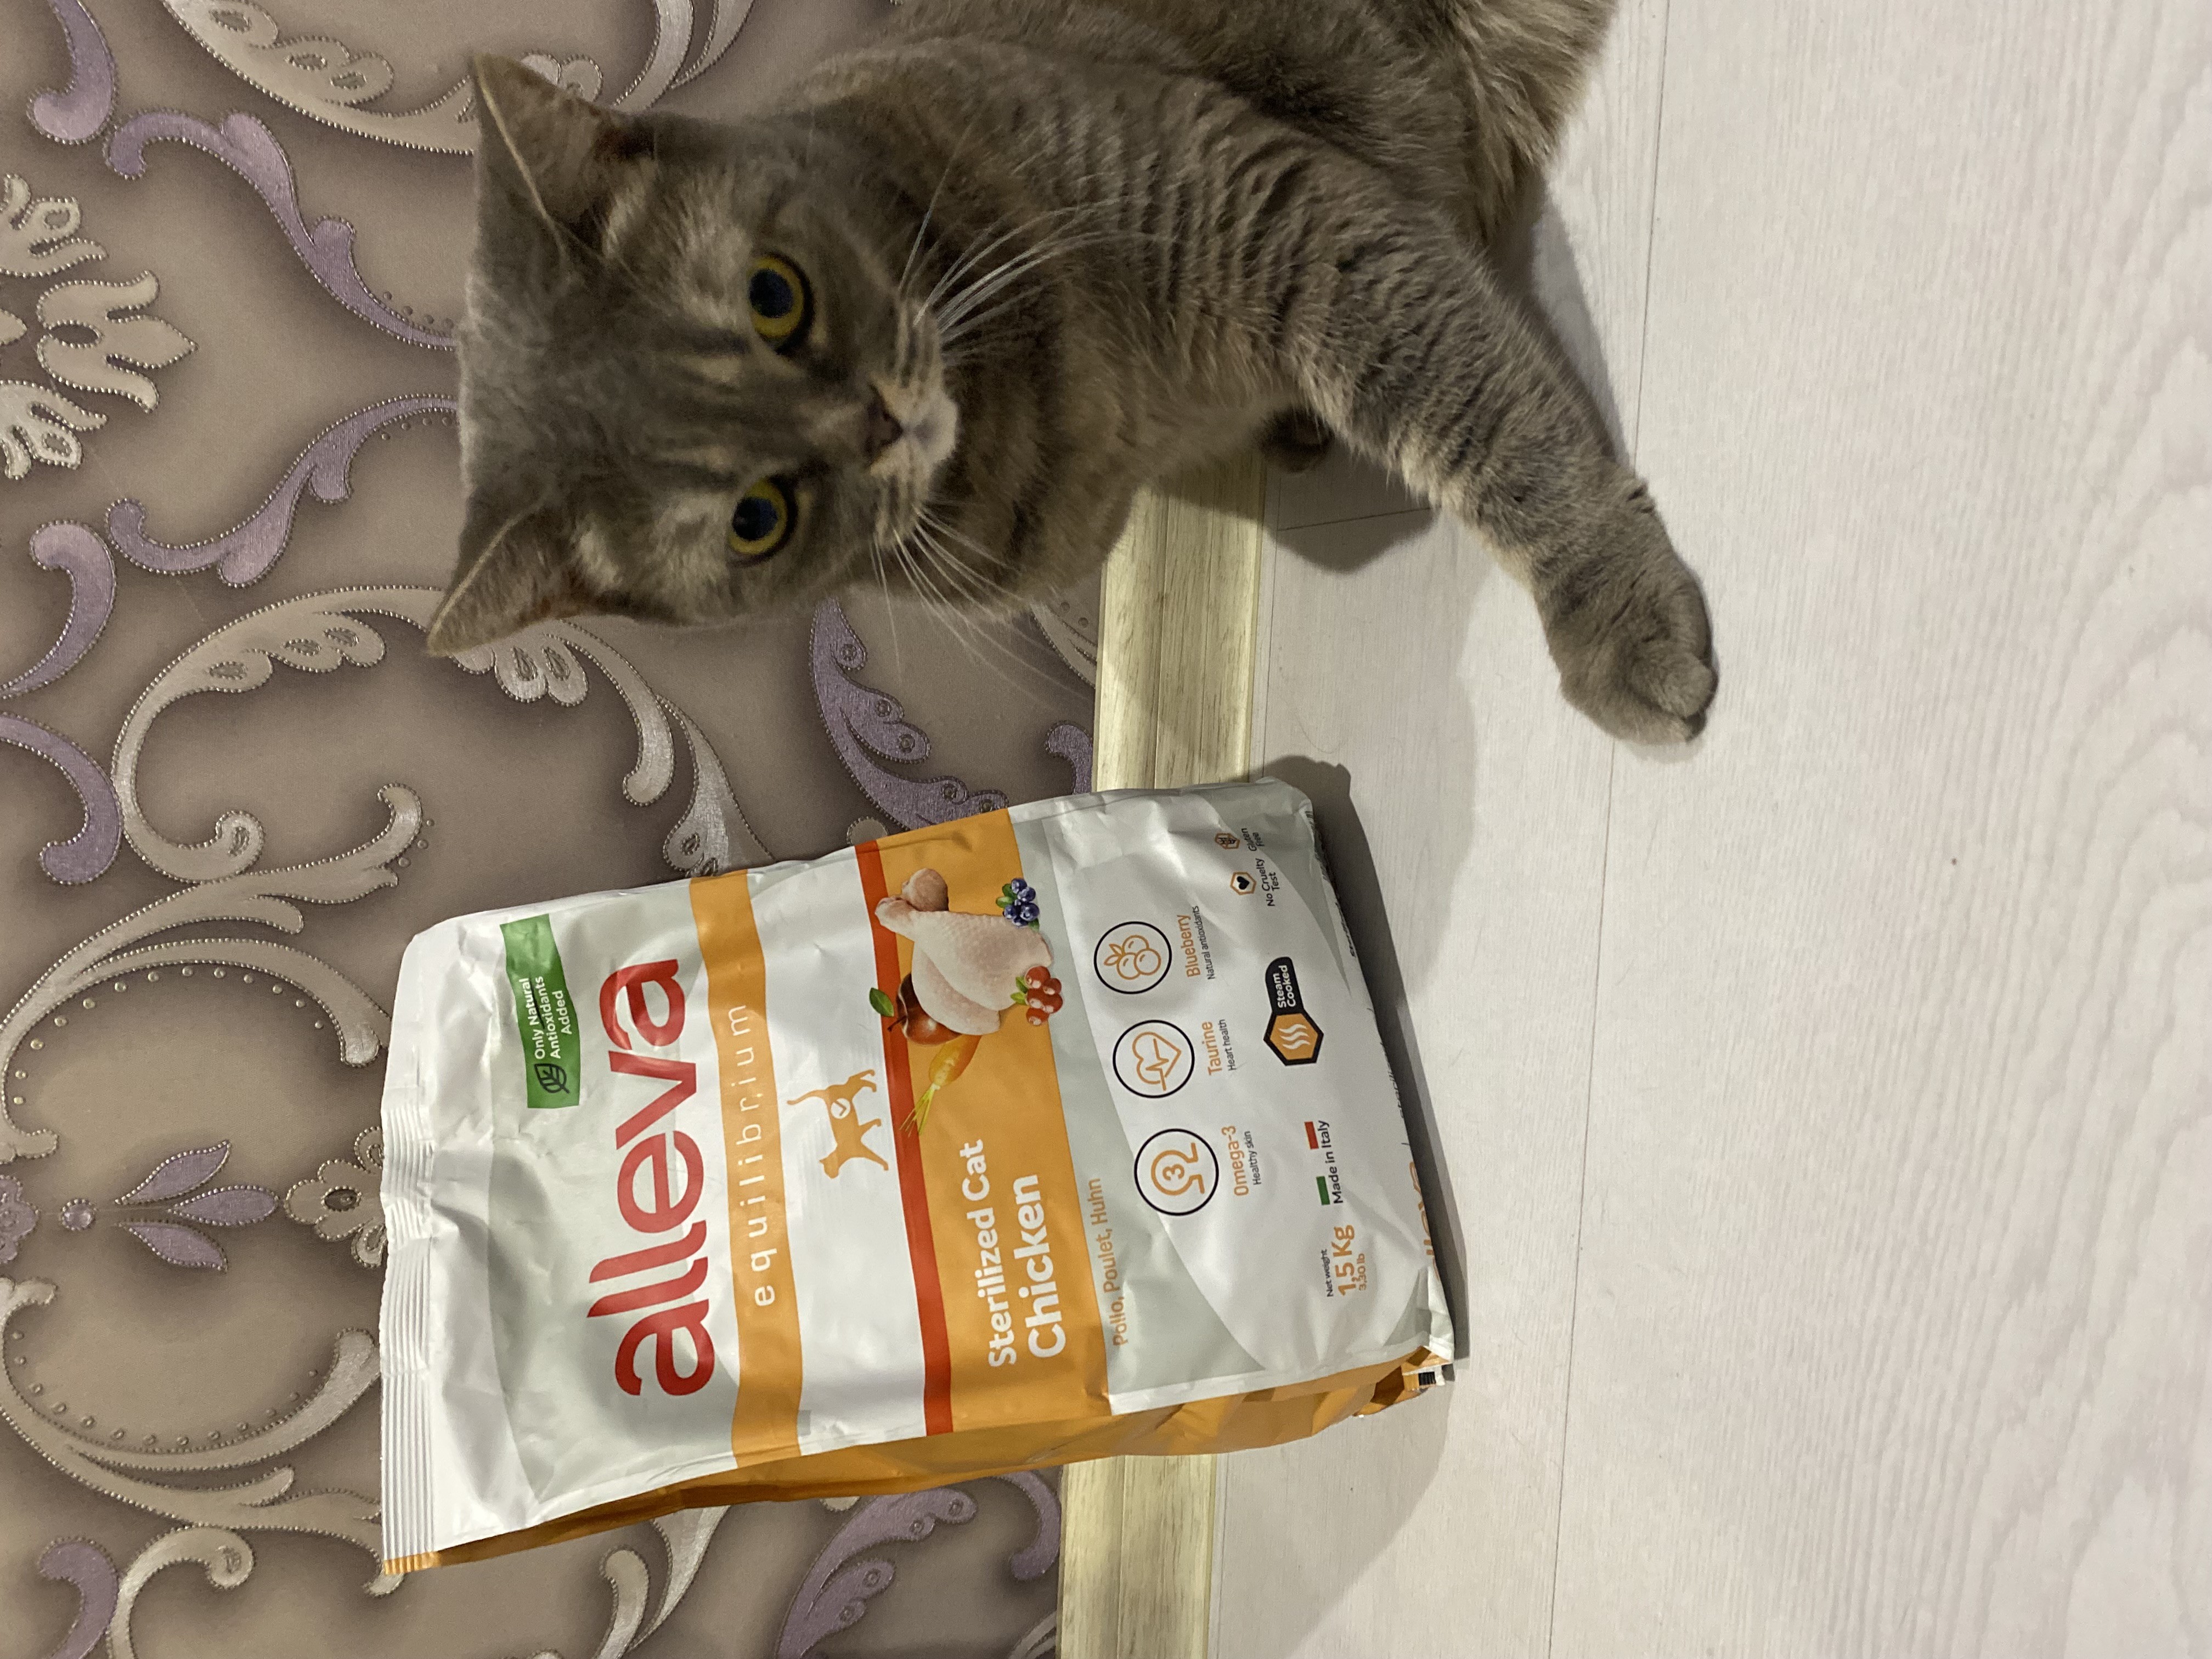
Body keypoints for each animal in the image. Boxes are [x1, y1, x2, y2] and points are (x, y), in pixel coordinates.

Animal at [432, 0, 1716, 742]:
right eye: (757, 519)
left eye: (774, 295)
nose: (879, 424)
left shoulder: (1286, 216)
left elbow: (1491, 427)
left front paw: (1615, 614)